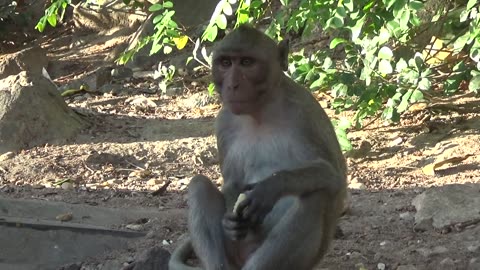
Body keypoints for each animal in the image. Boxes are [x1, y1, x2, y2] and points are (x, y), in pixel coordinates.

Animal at [171, 24, 346, 268]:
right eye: (226, 63)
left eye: (247, 62)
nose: (233, 85)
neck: (261, 112)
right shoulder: (224, 122)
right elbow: (232, 182)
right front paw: (229, 221)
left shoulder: (304, 113)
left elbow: (332, 176)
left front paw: (269, 188)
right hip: (234, 251)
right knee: (199, 185)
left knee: (315, 198)